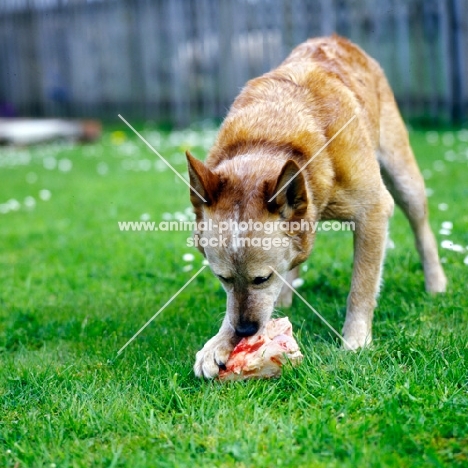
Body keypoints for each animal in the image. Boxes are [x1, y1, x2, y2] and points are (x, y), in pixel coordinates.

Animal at [186, 34, 446, 378]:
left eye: (261, 279)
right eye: (222, 278)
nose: (245, 331)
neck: (271, 137)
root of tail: (336, 39)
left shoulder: (374, 210)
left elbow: (362, 286)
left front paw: (356, 340)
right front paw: (218, 342)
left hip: (404, 179)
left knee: (422, 230)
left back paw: (436, 283)